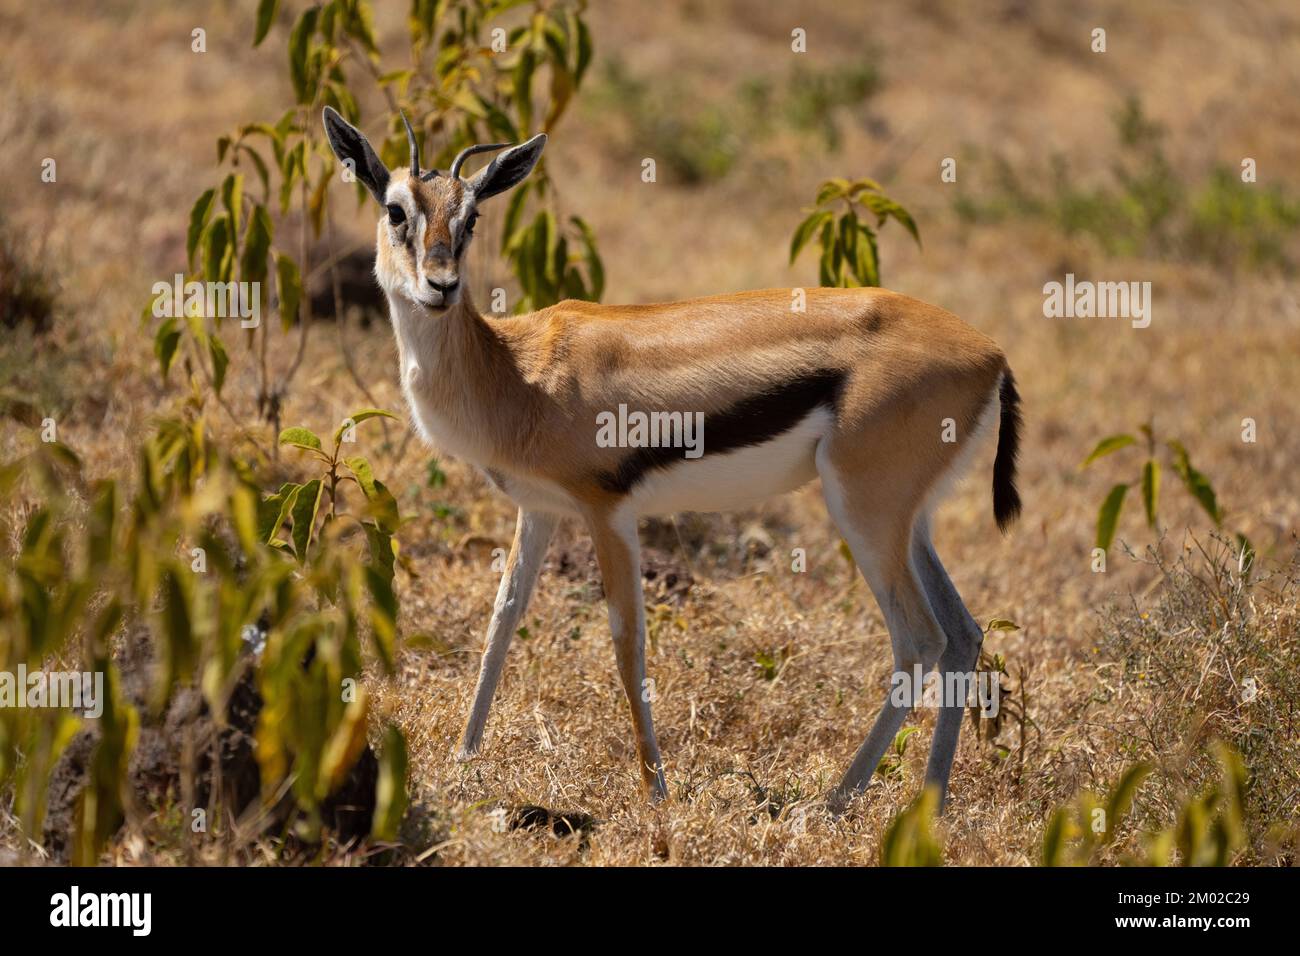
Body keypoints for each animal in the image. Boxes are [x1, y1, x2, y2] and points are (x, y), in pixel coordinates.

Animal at [323, 108, 1022, 811]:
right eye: (395, 210)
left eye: (471, 218)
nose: (439, 287)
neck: (517, 371)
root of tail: (991, 353)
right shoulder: (540, 509)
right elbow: (503, 619)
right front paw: (464, 758)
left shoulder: (607, 513)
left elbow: (626, 641)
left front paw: (654, 788)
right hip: (911, 523)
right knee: (964, 633)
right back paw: (927, 804)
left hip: (864, 513)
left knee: (920, 638)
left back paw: (832, 804)